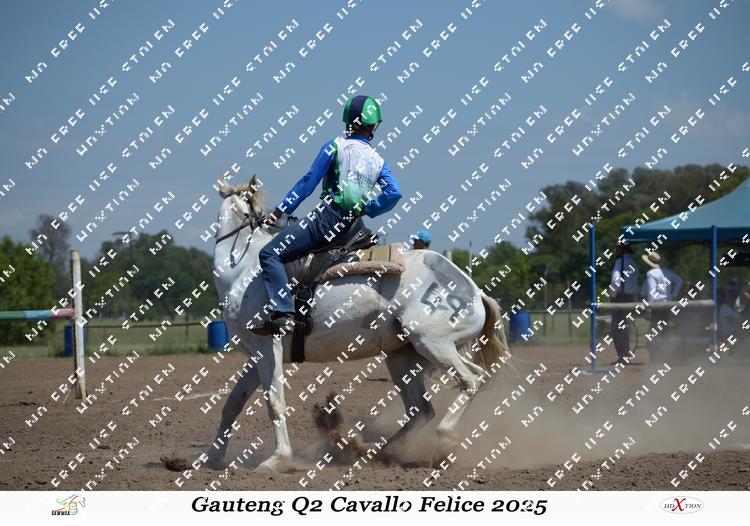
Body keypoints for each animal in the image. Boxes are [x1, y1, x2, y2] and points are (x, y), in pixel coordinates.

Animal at [207, 176, 511, 472]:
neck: (245, 271)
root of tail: (475, 291)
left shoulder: (268, 344)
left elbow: (274, 402)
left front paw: (277, 459)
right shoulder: (256, 354)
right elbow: (233, 403)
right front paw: (213, 457)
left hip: (433, 345)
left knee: (470, 380)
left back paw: (443, 437)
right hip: (405, 356)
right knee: (425, 408)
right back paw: (377, 451)